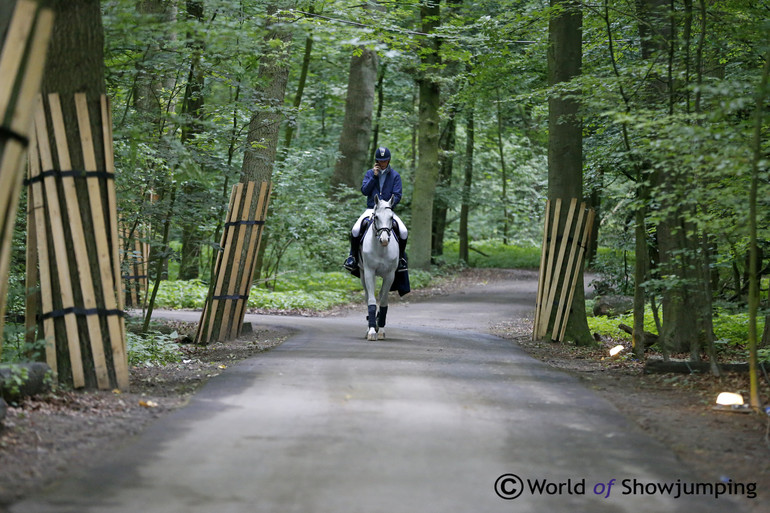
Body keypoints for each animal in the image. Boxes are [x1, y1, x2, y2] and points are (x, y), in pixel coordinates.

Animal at [358, 195, 400, 340]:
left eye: (391, 217)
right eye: (376, 217)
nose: (384, 240)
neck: (381, 250)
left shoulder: (390, 275)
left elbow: (383, 301)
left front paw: (380, 329)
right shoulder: (369, 272)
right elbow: (371, 300)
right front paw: (371, 331)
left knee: (381, 295)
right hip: (362, 274)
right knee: (367, 296)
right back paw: (368, 328)